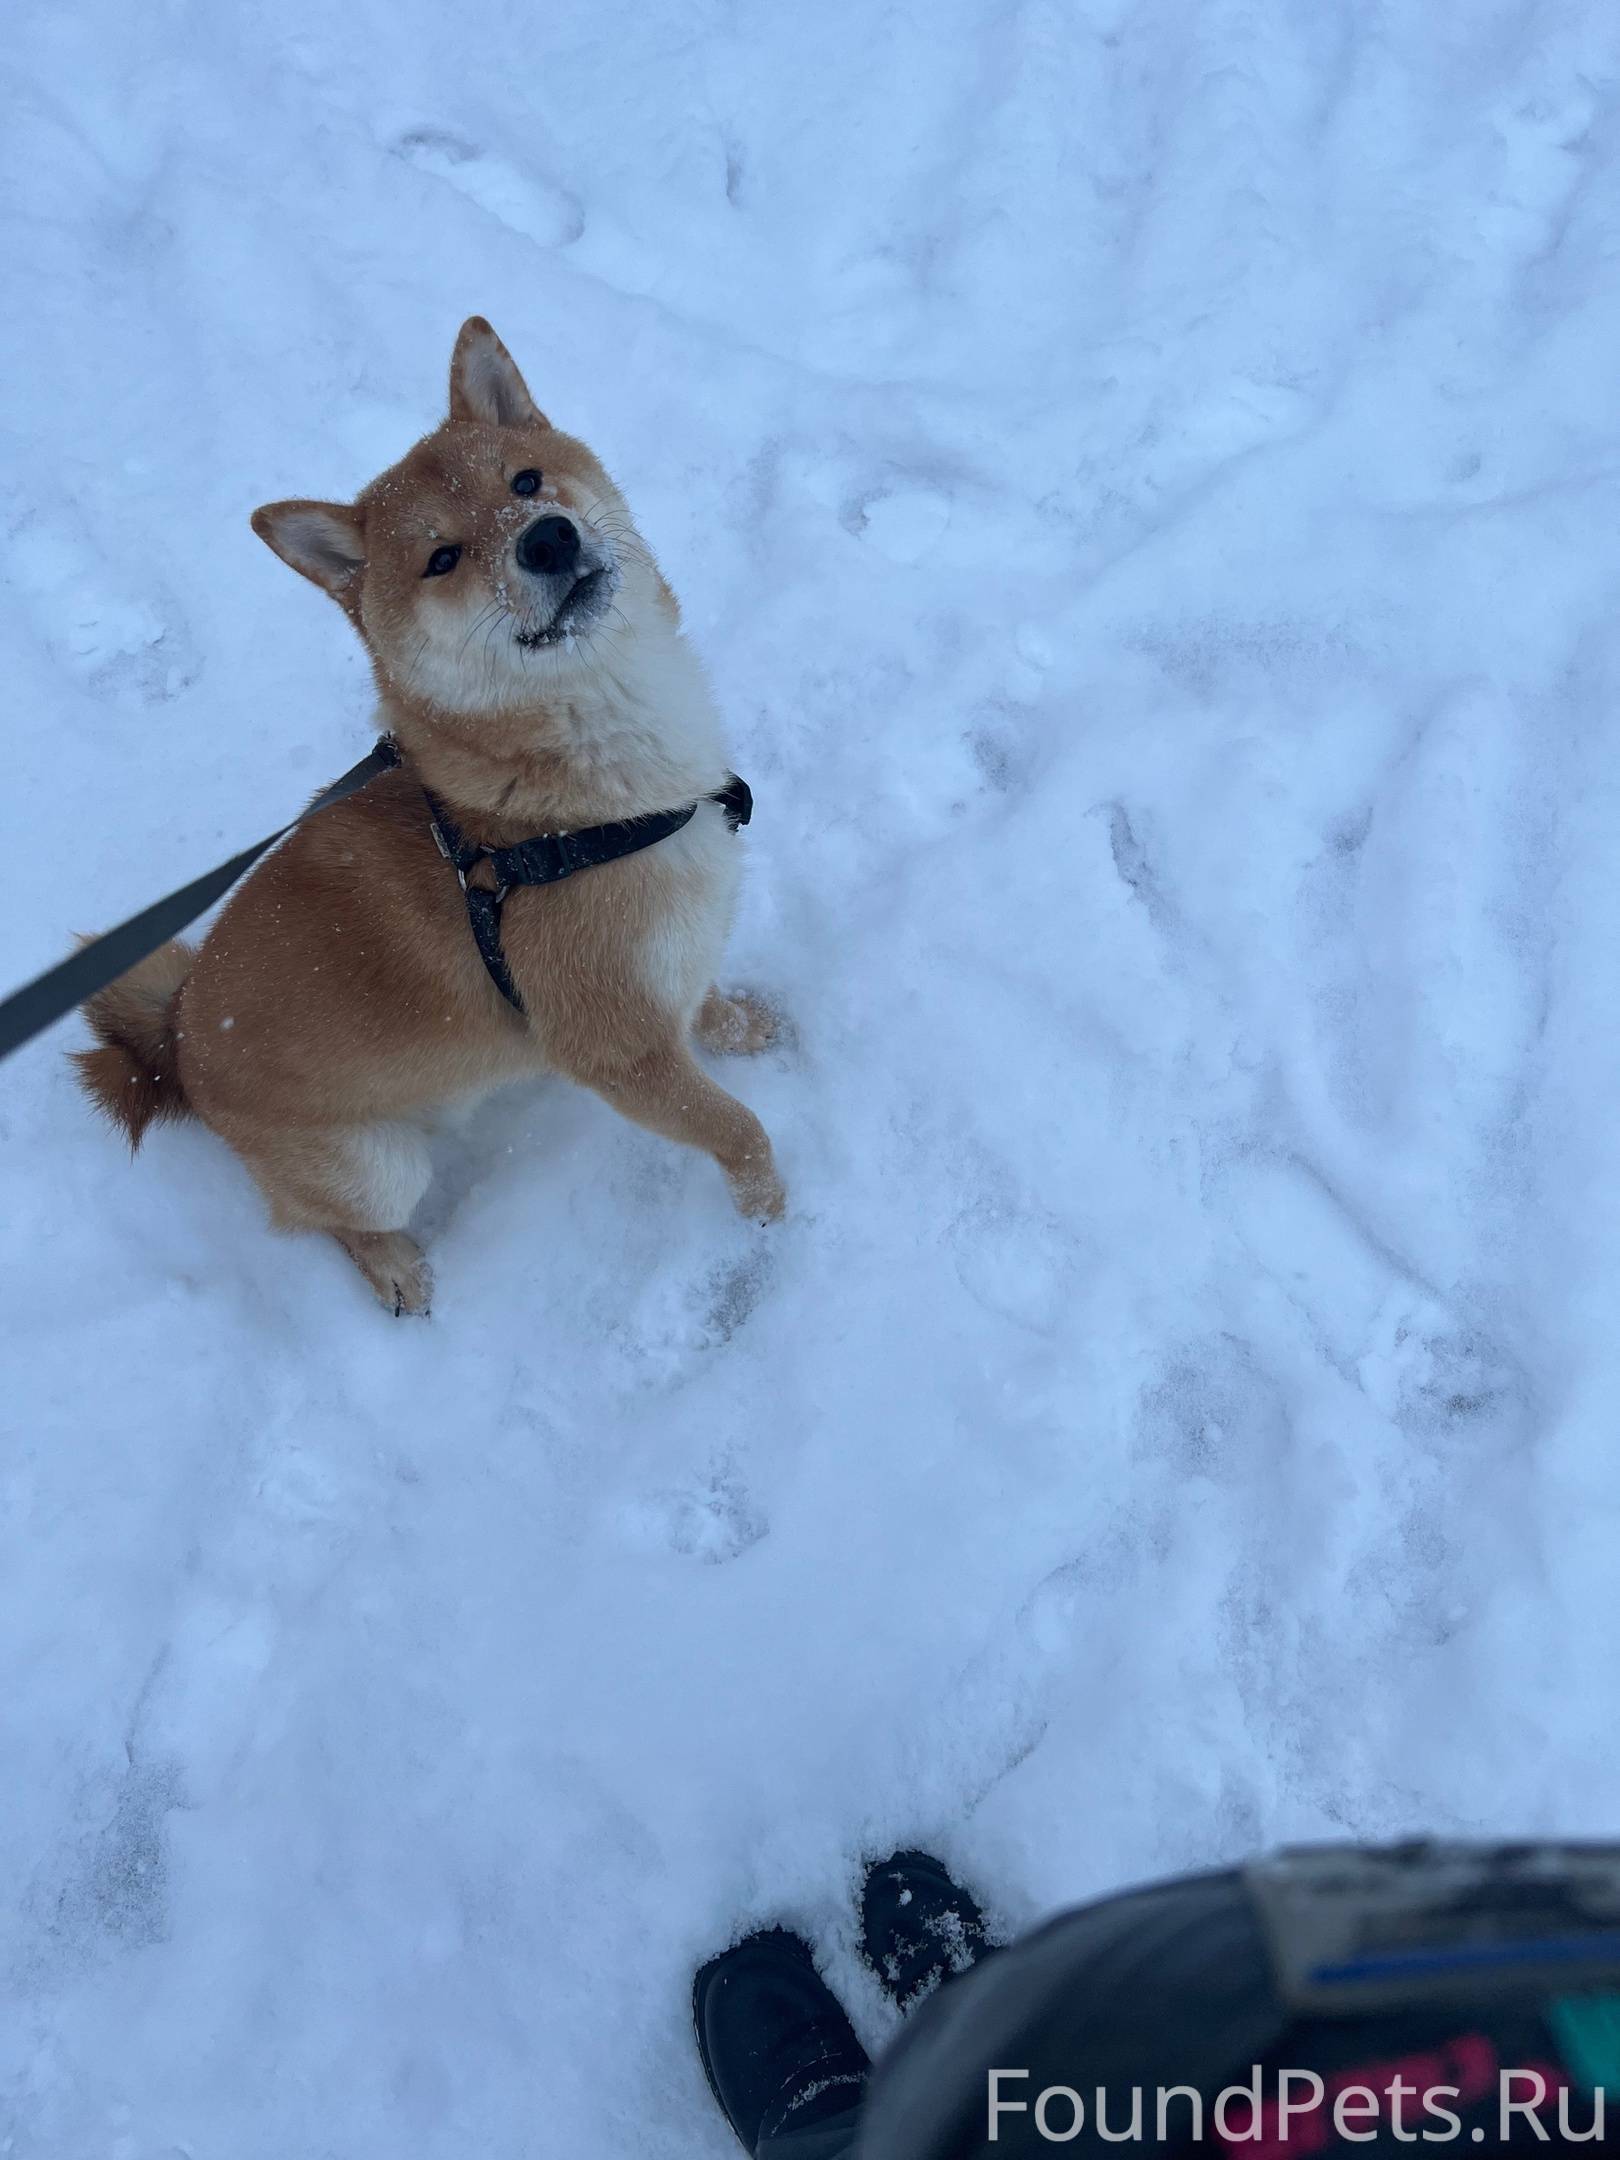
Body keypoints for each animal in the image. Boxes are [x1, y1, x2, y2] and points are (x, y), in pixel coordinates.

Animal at [74, 317, 785, 1315]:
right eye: (442, 559)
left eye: (525, 482)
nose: (549, 539)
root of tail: (178, 1040)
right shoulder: (615, 1051)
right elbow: (736, 1130)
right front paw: (769, 1211)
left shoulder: (668, 974)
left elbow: (706, 1002)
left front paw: (740, 1025)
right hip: (376, 1167)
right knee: (326, 1222)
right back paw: (393, 1267)